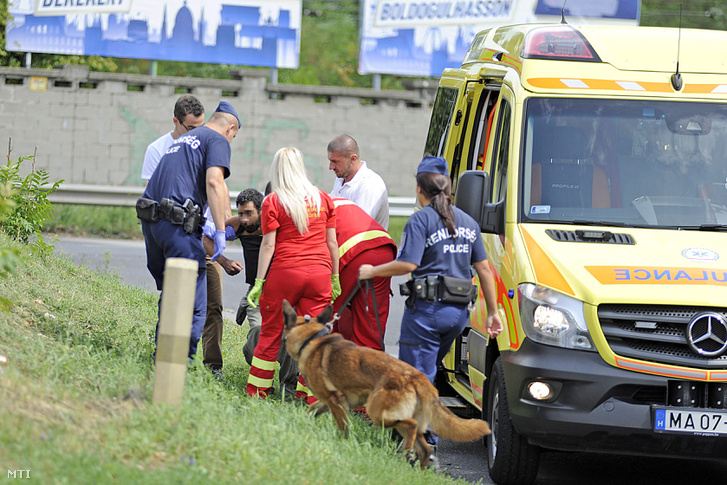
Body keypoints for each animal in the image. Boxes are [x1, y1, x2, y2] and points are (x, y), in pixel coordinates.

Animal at [282, 298, 492, 466]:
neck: (311, 339)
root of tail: (417, 377)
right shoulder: (332, 401)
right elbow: (310, 411)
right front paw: (301, 426)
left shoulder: (336, 401)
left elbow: (342, 428)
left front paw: (342, 443)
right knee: (425, 449)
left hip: (378, 413)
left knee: (411, 426)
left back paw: (406, 452)